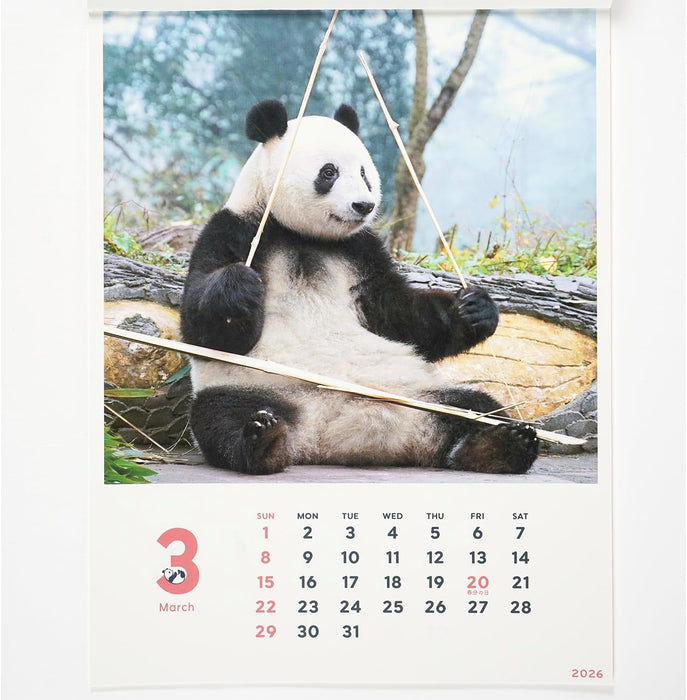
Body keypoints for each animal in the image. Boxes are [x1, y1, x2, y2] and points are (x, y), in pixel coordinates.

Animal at [180, 99, 538, 476]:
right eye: (329, 172)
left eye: (365, 173)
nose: (363, 205)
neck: (305, 236)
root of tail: (334, 438)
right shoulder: (234, 230)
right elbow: (205, 331)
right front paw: (240, 288)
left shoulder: (362, 252)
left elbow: (402, 317)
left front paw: (474, 309)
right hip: (253, 387)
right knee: (222, 415)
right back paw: (263, 439)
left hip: (419, 393)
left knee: (476, 405)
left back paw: (501, 444)